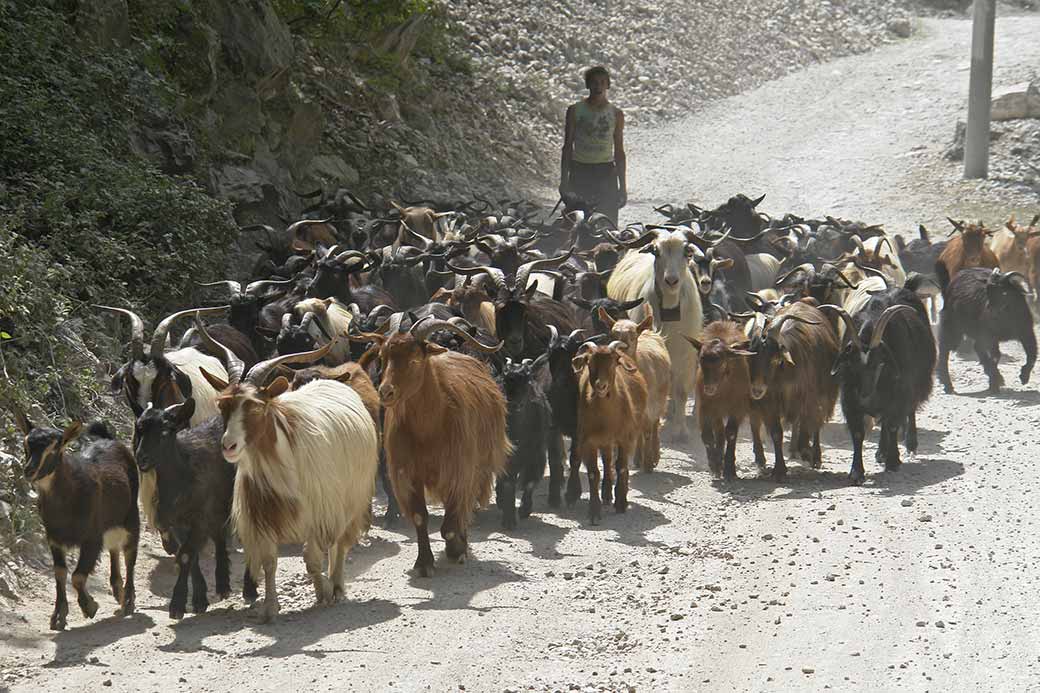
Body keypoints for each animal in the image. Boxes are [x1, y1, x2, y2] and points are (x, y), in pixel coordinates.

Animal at [14, 409, 138, 632]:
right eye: (26, 444)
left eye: (56, 447)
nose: (29, 471)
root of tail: (110, 439)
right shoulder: (54, 538)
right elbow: (60, 572)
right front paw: (58, 616)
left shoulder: (91, 538)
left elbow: (78, 576)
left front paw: (89, 606)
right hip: (111, 519)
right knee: (114, 547)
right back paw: (118, 591)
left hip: (131, 515)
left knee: (129, 554)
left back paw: (128, 600)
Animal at [196, 328, 380, 620]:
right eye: (223, 406)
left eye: (256, 407)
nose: (228, 446)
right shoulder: (263, 515)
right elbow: (270, 562)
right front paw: (270, 608)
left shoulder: (319, 512)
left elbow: (312, 560)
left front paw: (325, 592)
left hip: (351, 498)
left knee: (339, 544)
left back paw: (337, 585)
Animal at [569, 339, 648, 524]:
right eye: (589, 362)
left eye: (613, 362)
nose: (601, 386)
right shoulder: (588, 441)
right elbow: (593, 473)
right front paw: (594, 511)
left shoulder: (625, 438)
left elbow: (621, 467)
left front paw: (620, 503)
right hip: (603, 441)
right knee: (606, 460)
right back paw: (605, 494)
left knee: (617, 464)